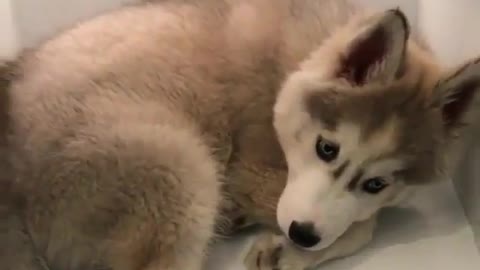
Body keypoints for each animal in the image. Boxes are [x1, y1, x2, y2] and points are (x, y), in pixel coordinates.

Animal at [0, 0, 480, 270]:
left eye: (377, 184)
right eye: (326, 149)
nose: (303, 236)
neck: (298, 56)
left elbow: (358, 218)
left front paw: (292, 252)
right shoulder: (247, 168)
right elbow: (365, 226)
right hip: (183, 168)